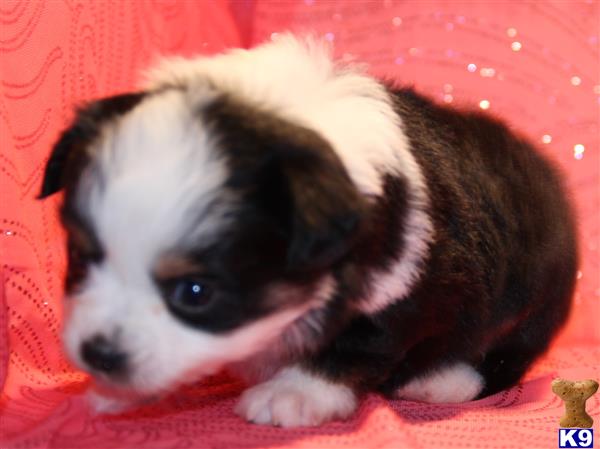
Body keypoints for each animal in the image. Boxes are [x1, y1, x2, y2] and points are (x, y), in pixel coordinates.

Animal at [37, 35, 576, 424]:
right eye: (81, 257)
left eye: (195, 293)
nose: (100, 354)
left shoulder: (400, 291)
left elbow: (355, 345)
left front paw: (292, 394)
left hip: (534, 305)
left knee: (503, 359)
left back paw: (442, 380)